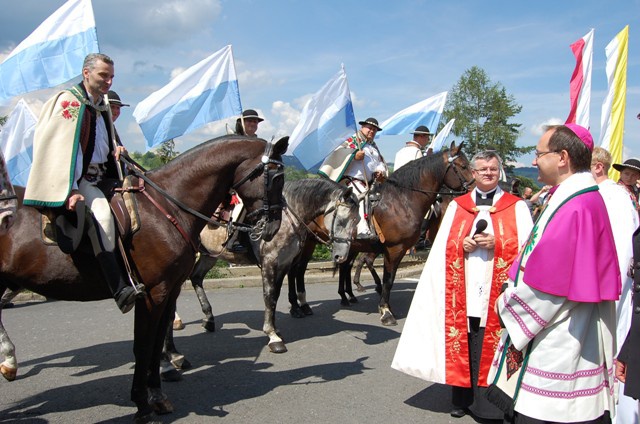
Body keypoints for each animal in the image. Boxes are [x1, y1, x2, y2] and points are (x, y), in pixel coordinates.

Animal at [0, 137, 288, 424]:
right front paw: (142, 403)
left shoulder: (169, 291)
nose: (274, 228)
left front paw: (157, 394)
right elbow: (144, 346)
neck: (168, 207)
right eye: (276, 177)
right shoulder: (152, 294)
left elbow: (156, 342)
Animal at [288, 142, 472, 324]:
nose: (474, 187)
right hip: (307, 243)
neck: (402, 200)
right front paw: (386, 311)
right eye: (463, 166)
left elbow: (387, 278)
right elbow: (388, 280)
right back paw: (297, 307)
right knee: (295, 270)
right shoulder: (394, 249)